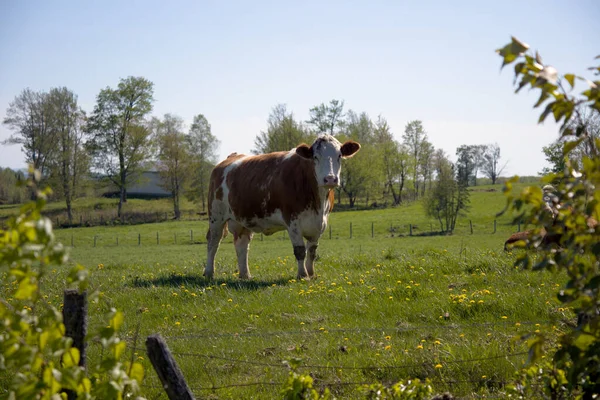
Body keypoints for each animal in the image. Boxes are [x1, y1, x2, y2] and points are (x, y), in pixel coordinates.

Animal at [204, 134, 360, 278]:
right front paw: (303, 275)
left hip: (243, 219)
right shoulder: (292, 221)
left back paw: (245, 275)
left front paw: (311, 274)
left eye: (339, 155)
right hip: (216, 216)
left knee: (242, 244)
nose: (330, 179)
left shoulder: (319, 224)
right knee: (213, 241)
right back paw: (209, 272)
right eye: (315, 157)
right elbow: (300, 251)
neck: (318, 203)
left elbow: (312, 251)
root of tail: (231, 157)